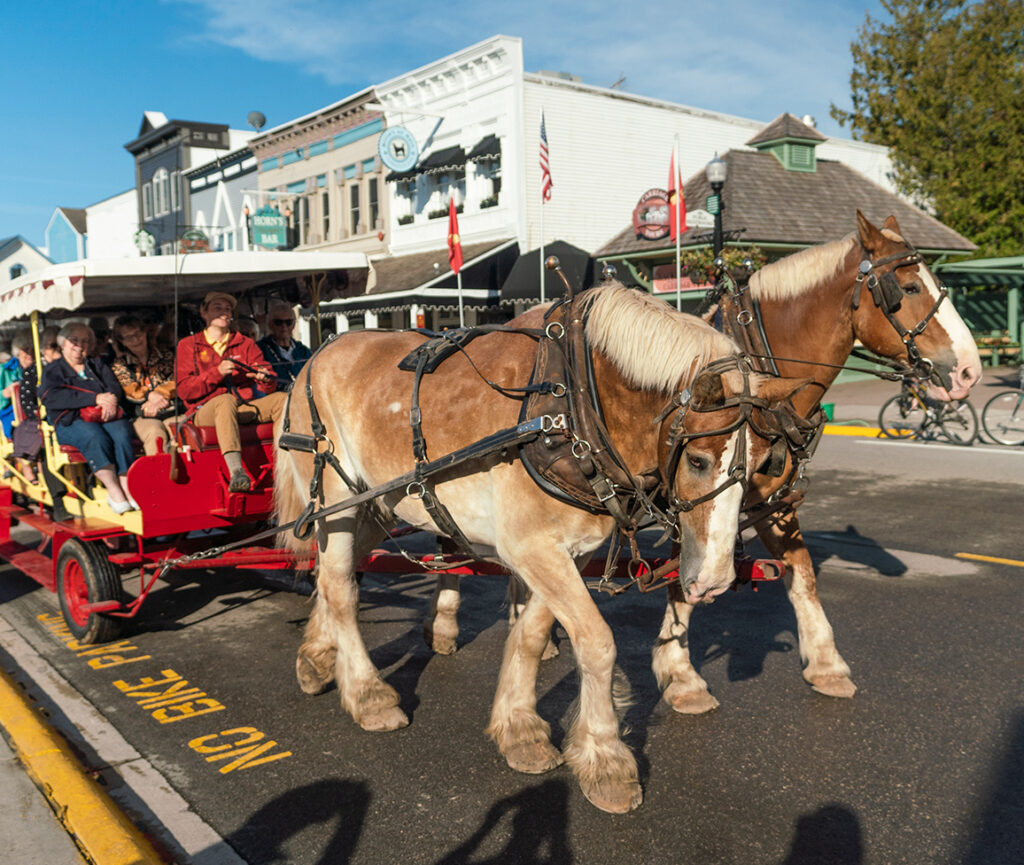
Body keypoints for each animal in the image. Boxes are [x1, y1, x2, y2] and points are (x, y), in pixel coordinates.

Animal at [276, 282, 811, 810]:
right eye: (697, 460)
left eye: (765, 462)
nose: (715, 580)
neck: (570, 406)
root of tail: (316, 354)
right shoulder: (531, 547)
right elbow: (596, 642)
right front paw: (605, 758)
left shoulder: (568, 550)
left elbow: (532, 635)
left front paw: (520, 729)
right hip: (336, 503)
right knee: (341, 589)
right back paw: (368, 694)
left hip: (373, 505)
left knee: (333, 577)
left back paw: (317, 658)